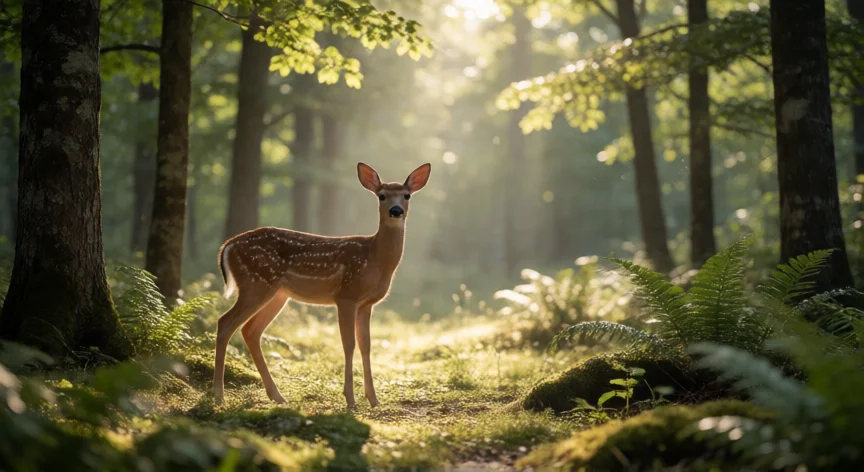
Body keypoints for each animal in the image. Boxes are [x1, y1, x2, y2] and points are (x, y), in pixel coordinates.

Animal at [213, 162, 431, 408]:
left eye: (406, 195)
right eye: (382, 195)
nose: (396, 211)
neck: (375, 259)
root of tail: (228, 246)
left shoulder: (367, 303)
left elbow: (366, 345)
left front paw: (374, 399)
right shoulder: (346, 295)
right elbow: (349, 343)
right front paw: (350, 399)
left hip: (277, 293)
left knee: (250, 330)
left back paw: (277, 396)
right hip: (255, 283)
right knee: (225, 323)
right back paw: (219, 396)